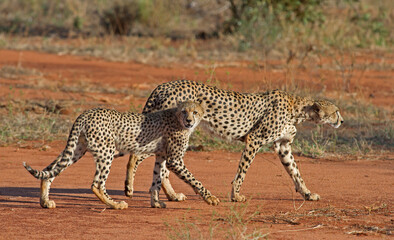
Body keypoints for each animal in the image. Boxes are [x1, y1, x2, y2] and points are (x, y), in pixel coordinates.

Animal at [22, 101, 219, 210]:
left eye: (195, 112)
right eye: (184, 111)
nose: (189, 120)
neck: (177, 119)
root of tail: (87, 112)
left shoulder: (161, 157)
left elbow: (156, 180)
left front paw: (156, 203)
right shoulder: (174, 160)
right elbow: (194, 180)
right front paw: (210, 198)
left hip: (77, 150)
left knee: (50, 170)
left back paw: (45, 202)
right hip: (106, 151)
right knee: (97, 184)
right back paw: (115, 204)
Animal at [124, 80, 344, 202]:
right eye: (336, 111)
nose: (341, 120)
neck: (297, 109)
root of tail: (164, 85)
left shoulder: (283, 145)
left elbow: (296, 172)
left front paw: (307, 193)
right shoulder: (255, 139)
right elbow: (242, 171)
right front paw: (235, 195)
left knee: (162, 166)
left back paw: (172, 195)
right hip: (173, 132)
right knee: (138, 156)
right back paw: (129, 188)